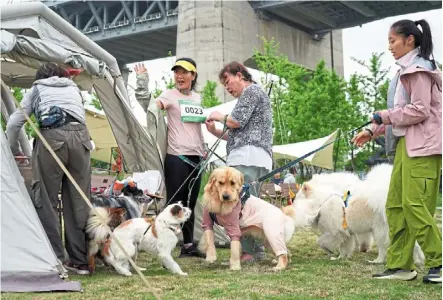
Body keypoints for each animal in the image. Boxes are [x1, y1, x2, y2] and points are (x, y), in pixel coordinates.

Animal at [294, 164, 424, 264]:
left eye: (297, 197)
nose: (293, 203)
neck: (323, 201)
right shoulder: (346, 234)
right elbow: (343, 248)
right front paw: (340, 258)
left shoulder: (335, 232)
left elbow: (320, 241)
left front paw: (329, 251)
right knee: (414, 245)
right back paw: (418, 261)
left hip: (380, 231)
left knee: (383, 248)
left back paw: (378, 261)